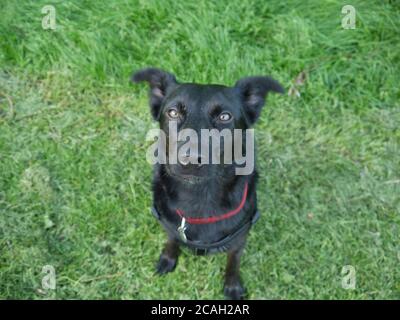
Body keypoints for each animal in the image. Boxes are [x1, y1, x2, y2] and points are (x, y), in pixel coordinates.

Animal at [133, 68, 282, 300]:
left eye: (224, 116)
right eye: (172, 113)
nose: (190, 159)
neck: (198, 195)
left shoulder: (239, 240)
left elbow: (233, 262)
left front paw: (232, 285)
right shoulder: (170, 227)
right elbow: (172, 240)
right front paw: (168, 259)